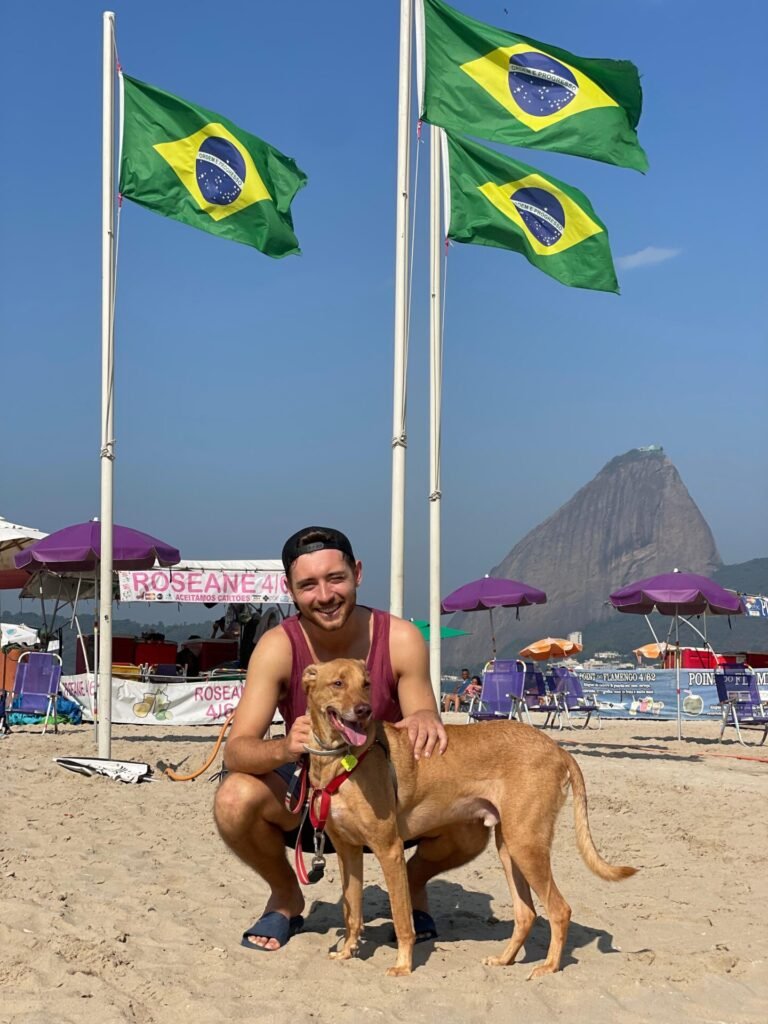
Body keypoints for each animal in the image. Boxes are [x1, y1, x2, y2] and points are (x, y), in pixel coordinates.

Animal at [303, 655, 638, 974]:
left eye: (367, 684)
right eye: (337, 683)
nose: (364, 710)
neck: (341, 759)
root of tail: (557, 749)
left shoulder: (389, 850)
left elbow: (401, 920)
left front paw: (403, 965)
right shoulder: (348, 851)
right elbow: (352, 912)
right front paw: (347, 951)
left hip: (525, 844)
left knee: (559, 909)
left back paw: (549, 966)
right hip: (509, 847)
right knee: (527, 913)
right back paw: (504, 960)